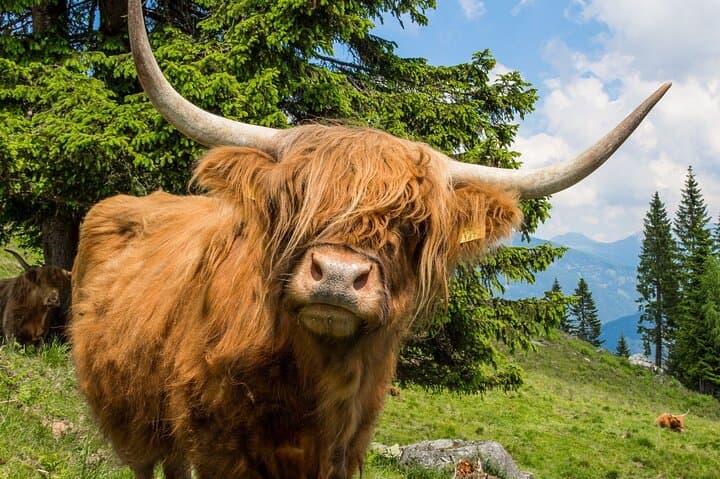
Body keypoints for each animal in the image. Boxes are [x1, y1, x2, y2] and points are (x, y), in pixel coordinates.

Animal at [68, 1, 671, 478]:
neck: (312, 386)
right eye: (298, 201)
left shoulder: (346, 446)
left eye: (413, 226)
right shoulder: (219, 445)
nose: (336, 277)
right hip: (132, 413)